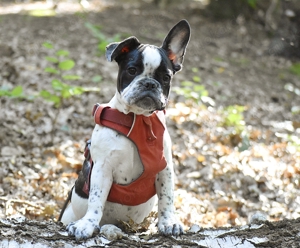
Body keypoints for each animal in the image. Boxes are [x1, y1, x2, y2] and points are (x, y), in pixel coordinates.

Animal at [58, 19, 190, 240]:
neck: (139, 121)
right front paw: (87, 224)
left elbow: (167, 197)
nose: (149, 84)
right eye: (132, 70)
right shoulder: (102, 169)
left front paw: (168, 222)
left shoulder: (165, 169)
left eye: (165, 77)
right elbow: (96, 199)